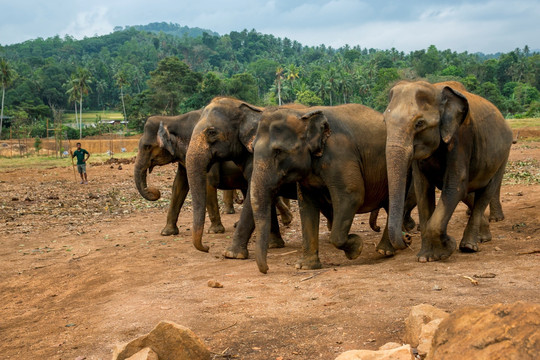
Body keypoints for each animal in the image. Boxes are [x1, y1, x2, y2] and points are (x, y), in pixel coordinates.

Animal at [251, 103, 398, 272]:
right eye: (252, 149)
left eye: (278, 151)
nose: (267, 269)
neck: (303, 114)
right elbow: (307, 205)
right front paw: (305, 266)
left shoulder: (340, 155)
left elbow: (352, 195)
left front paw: (356, 248)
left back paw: (385, 250)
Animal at [382, 81, 512, 262]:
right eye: (384, 122)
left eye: (419, 123)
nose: (407, 238)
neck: (436, 89)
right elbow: (422, 189)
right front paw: (426, 257)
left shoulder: (461, 136)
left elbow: (455, 184)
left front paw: (446, 248)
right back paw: (482, 238)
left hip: (502, 157)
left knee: (485, 192)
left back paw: (469, 246)